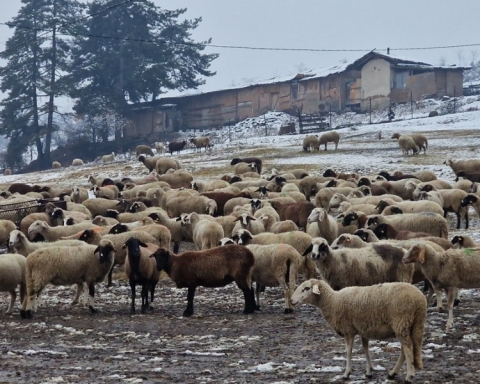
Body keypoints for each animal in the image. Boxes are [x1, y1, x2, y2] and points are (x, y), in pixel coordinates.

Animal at [290, 278, 426, 382]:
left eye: (306, 288)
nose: (291, 301)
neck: (333, 301)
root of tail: (420, 300)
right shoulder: (363, 329)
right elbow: (365, 349)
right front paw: (369, 371)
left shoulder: (348, 330)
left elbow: (349, 352)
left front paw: (346, 373)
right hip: (413, 324)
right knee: (405, 349)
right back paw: (393, 373)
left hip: (401, 322)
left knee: (407, 348)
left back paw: (409, 375)